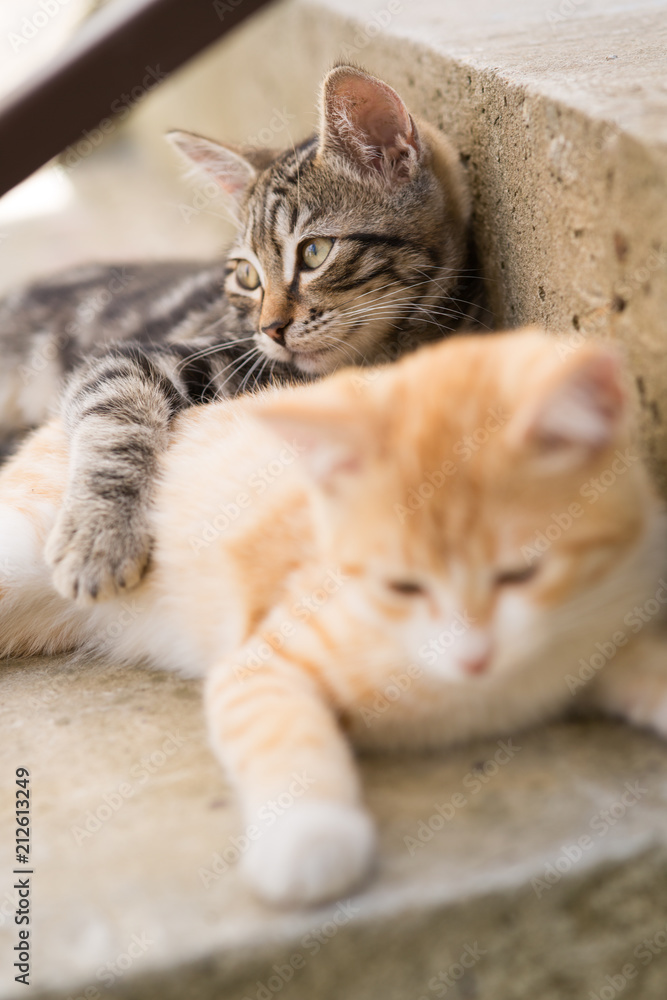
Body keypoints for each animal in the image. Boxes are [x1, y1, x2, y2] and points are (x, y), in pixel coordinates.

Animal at [0, 68, 488, 608]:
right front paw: (99, 535)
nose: (270, 330)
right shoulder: (128, 358)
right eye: (247, 275)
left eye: (314, 252)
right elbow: (114, 427)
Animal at [1, 330, 667, 908]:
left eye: (521, 574)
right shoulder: (262, 660)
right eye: (400, 583)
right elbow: (283, 734)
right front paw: (309, 839)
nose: (474, 655)